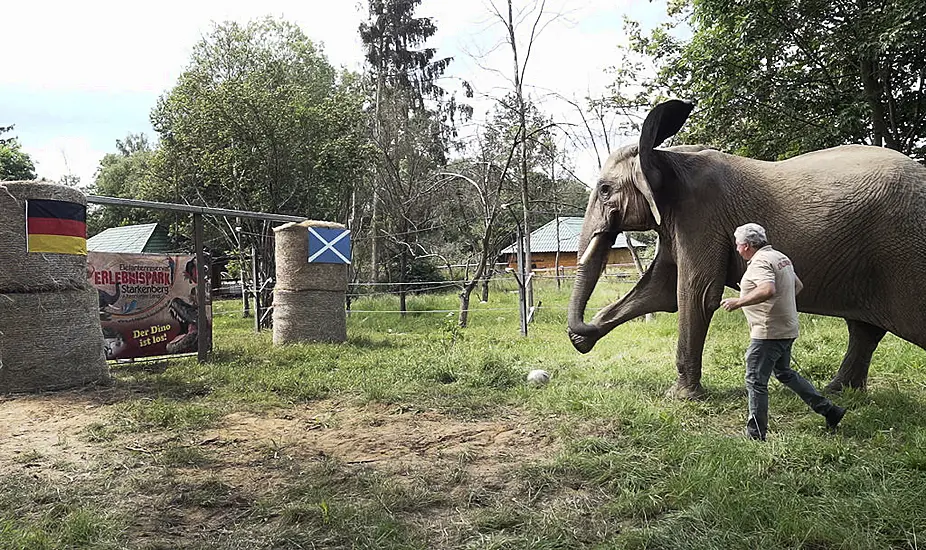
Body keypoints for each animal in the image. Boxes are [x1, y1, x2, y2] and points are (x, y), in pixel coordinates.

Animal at [568, 100, 926, 402]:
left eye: (604, 190)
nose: (578, 333)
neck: (665, 155)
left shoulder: (701, 216)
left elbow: (695, 294)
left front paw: (680, 398)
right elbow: (661, 290)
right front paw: (585, 336)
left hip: (905, 250)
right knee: (864, 330)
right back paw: (838, 392)